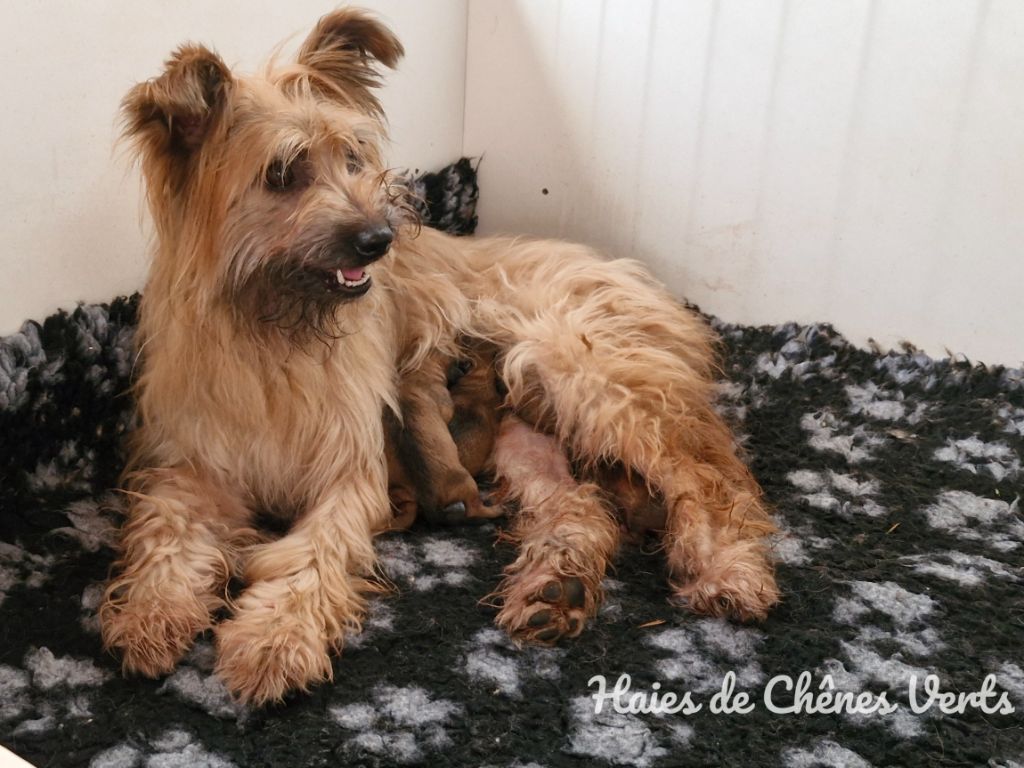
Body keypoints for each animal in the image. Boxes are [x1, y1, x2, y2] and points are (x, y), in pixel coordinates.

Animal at [101, 7, 774, 704]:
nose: (379, 238)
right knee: (579, 507)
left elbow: (314, 553)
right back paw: (556, 588)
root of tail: (631, 275)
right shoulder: (189, 466)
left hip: (594, 380)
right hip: (524, 434)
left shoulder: (349, 473)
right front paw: (151, 615)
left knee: (710, 476)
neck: (272, 333)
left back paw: (729, 570)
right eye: (281, 173)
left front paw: (275, 639)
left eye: (352, 157)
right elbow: (165, 534)